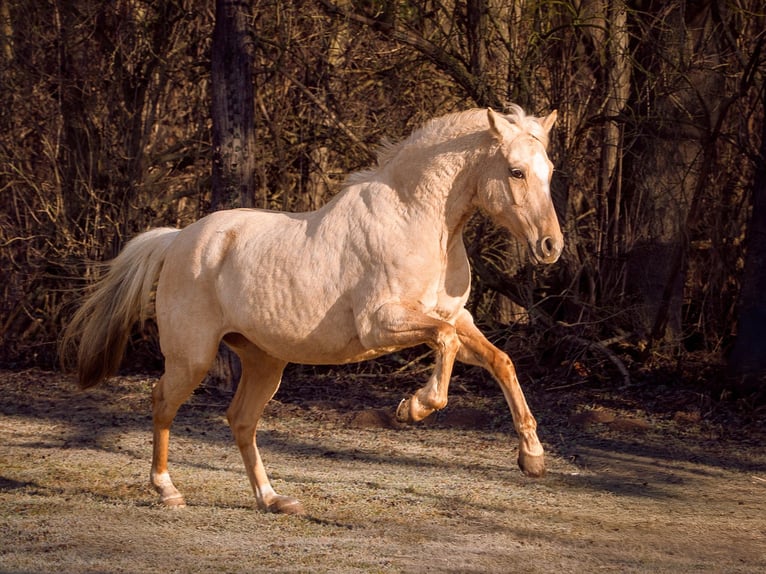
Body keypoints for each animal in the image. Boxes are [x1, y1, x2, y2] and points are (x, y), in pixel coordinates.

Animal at [60, 105, 563, 514]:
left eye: (550, 170)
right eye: (516, 171)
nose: (551, 246)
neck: (418, 223)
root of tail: (178, 238)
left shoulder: (459, 317)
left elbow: (499, 360)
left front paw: (532, 458)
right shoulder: (382, 324)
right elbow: (445, 343)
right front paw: (413, 409)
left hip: (264, 361)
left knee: (241, 420)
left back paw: (273, 499)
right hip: (193, 357)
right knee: (163, 402)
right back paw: (168, 491)